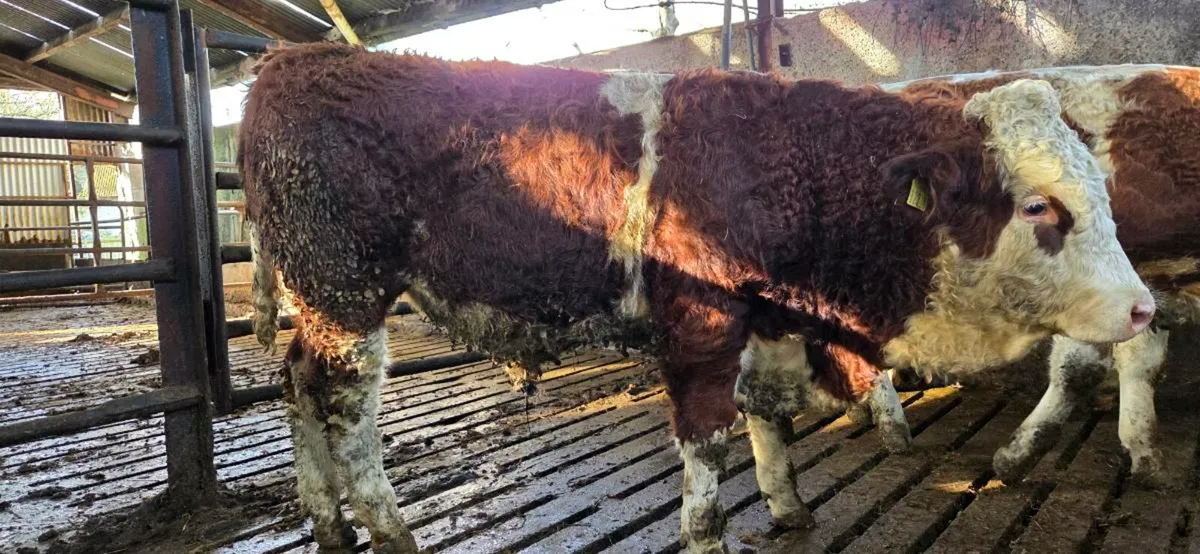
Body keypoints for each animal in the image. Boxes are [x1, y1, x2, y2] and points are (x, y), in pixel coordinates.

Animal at [239, 43, 1153, 554]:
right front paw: (709, 534)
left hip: (321, 306)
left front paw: (788, 509)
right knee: (344, 410)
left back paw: (328, 525)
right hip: (348, 295)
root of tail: (290, 65)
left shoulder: (767, 322)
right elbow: (709, 444)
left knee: (296, 388)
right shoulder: (701, 325)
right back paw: (388, 530)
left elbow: (769, 419)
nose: (1144, 307)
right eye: (1038, 206)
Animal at [875, 65, 1200, 487]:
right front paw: (1018, 455)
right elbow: (1078, 369)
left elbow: (1144, 363)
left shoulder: (1143, 288)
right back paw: (890, 425)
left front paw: (1145, 455)